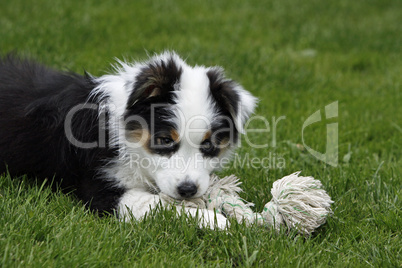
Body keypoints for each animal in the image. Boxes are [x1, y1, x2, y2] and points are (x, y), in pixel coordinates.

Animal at [0, 51, 256, 228]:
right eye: (165, 140)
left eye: (208, 145)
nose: (188, 190)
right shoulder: (101, 188)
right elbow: (157, 203)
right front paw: (213, 220)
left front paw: (245, 216)